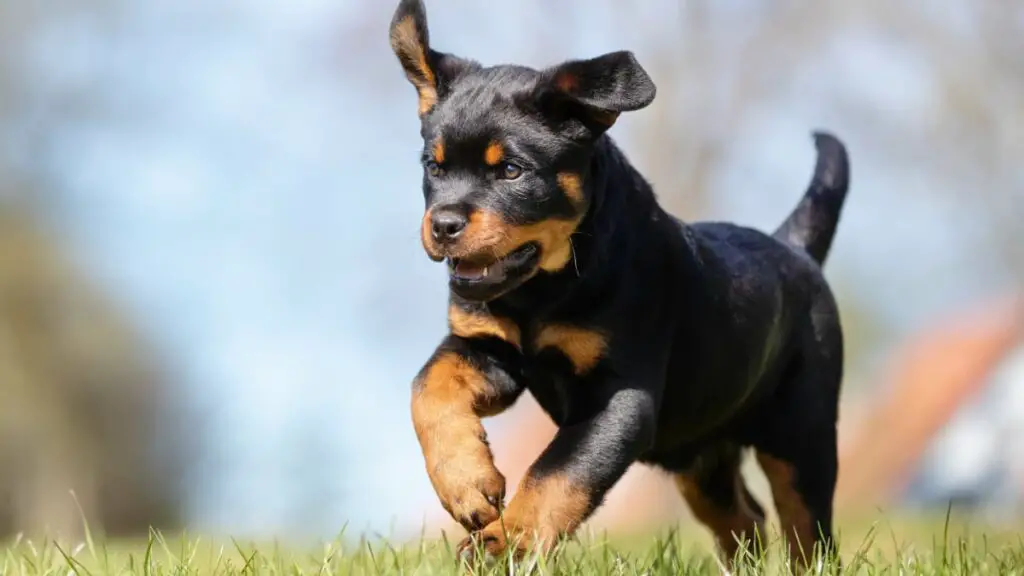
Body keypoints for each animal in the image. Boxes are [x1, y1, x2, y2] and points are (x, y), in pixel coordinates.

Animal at [387, 0, 851, 565]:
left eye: (513, 171)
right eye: (433, 166)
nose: (444, 224)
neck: (543, 291)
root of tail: (795, 247)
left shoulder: (619, 395)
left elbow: (558, 472)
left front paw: (506, 542)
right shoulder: (487, 348)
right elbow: (428, 387)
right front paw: (468, 485)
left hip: (801, 433)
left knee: (807, 527)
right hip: (702, 457)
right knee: (745, 520)